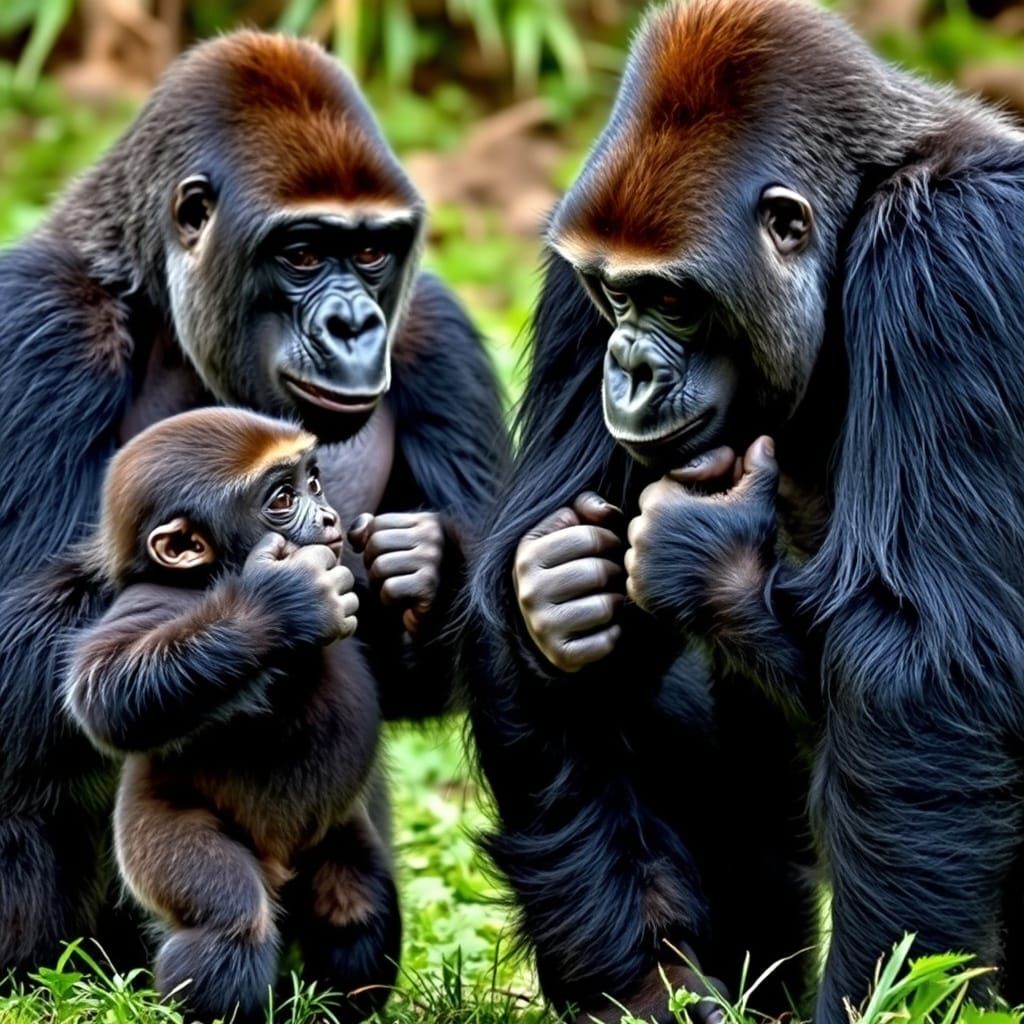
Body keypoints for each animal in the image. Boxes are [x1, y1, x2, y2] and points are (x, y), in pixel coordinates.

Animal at [63, 407, 397, 1023]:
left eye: (314, 482)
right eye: (284, 498)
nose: (330, 515)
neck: (210, 578)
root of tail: (279, 863)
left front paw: (420, 558)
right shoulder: (148, 601)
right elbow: (108, 690)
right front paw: (282, 602)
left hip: (336, 834)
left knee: (359, 905)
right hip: (159, 828)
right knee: (230, 922)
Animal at [466, 0, 1024, 1021]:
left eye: (673, 301)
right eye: (617, 294)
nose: (628, 370)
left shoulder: (952, 258)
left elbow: (915, 667)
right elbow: (520, 611)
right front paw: (644, 985)